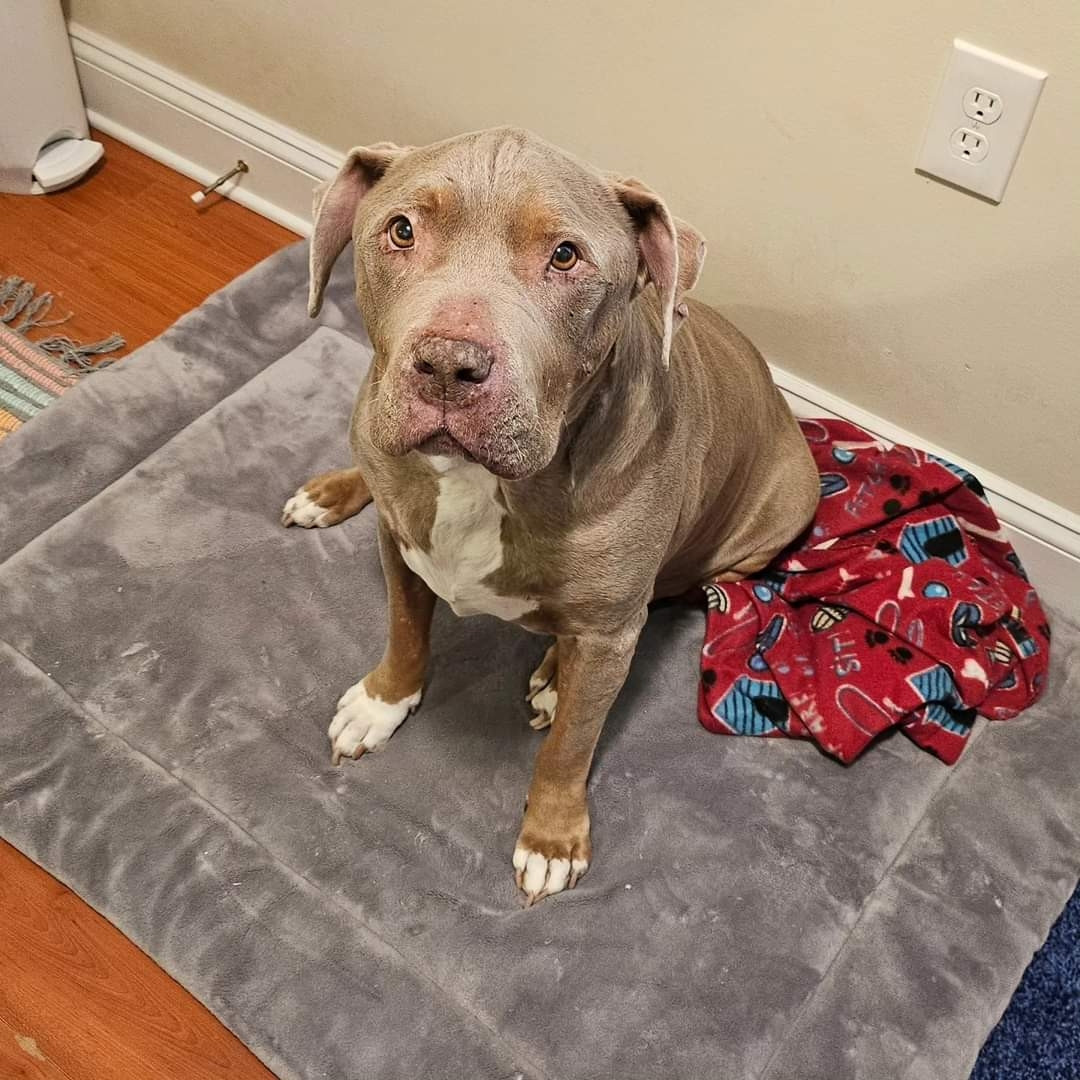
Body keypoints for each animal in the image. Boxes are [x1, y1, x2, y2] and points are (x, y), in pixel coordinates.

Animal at [282, 126, 812, 902]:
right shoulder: (399, 544)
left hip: (771, 520)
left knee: (664, 596)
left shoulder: (609, 630)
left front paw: (553, 838)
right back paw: (329, 493)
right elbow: (405, 631)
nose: (448, 364)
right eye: (401, 230)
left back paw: (557, 677)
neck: (482, 483)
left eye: (566, 255)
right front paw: (383, 702)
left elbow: (571, 746)